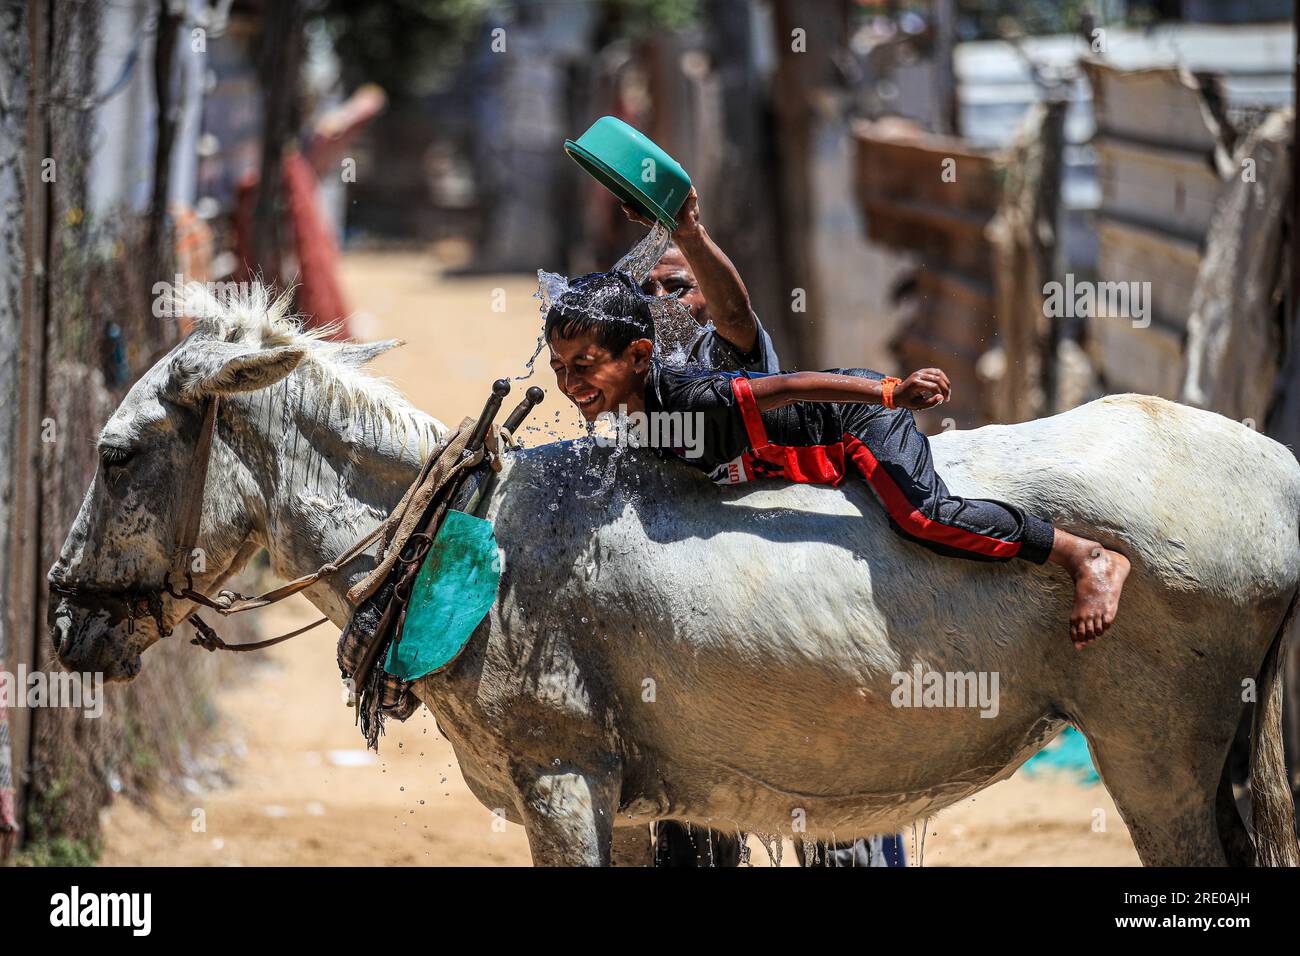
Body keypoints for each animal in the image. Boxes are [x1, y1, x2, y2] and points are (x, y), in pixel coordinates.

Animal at [50, 295, 1300, 863]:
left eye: (113, 455)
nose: (63, 617)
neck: (469, 531)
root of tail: (1277, 474)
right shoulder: (633, 802)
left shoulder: (561, 780)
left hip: (1155, 758)